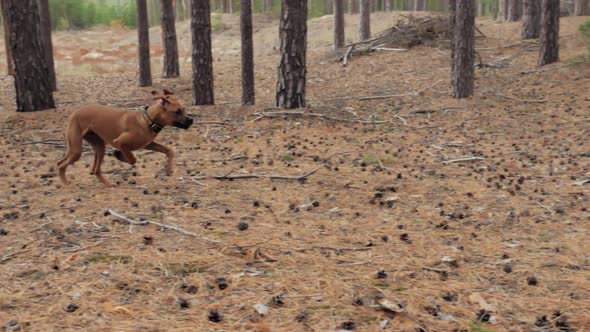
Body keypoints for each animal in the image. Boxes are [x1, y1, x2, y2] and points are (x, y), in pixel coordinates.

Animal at [57, 89, 193, 187]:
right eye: (177, 111)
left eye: (184, 109)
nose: (191, 120)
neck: (148, 120)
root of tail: (74, 113)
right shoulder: (120, 142)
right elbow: (132, 159)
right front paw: (118, 155)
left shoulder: (148, 144)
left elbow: (169, 151)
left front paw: (168, 169)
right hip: (77, 150)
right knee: (60, 165)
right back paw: (65, 183)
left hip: (98, 147)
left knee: (95, 169)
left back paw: (109, 184)